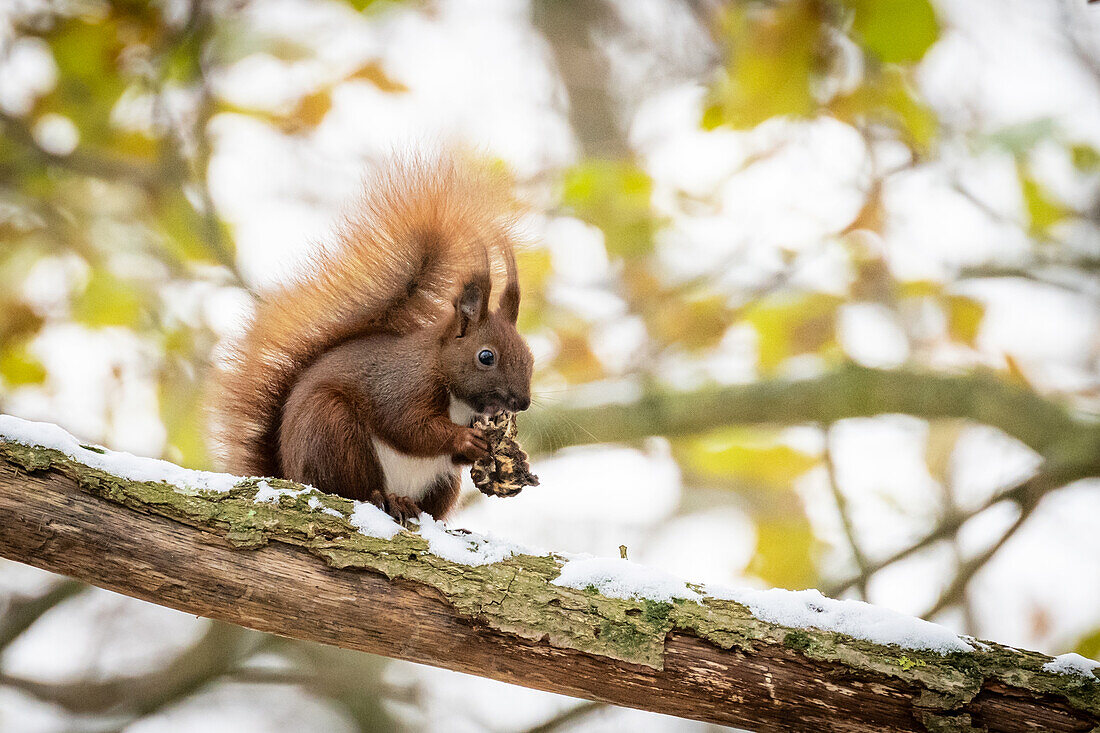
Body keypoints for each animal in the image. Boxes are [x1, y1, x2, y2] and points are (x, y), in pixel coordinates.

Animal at [209, 155, 532, 519]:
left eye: (530, 357)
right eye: (486, 356)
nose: (522, 402)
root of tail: (288, 474)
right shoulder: (403, 385)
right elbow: (409, 426)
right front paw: (465, 440)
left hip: (442, 484)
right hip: (331, 429)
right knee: (352, 488)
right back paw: (385, 498)